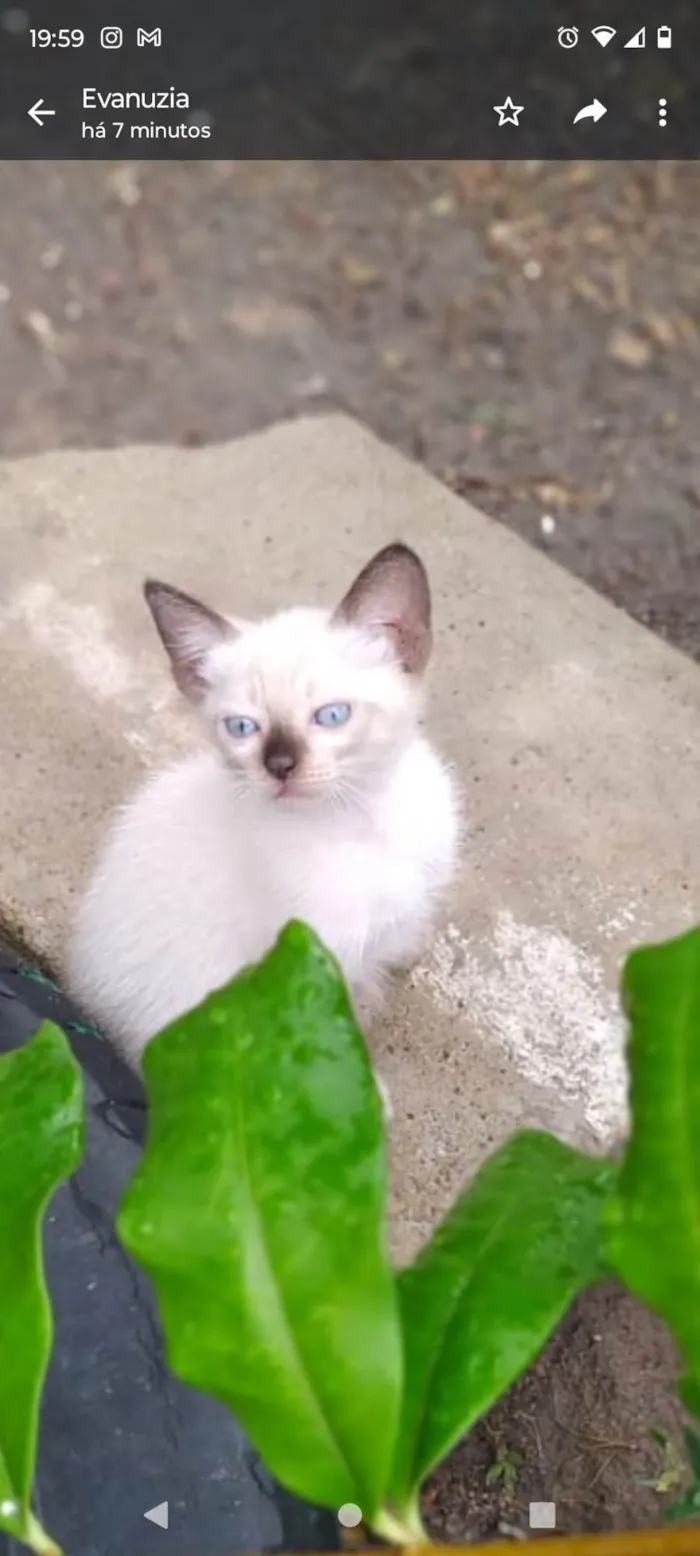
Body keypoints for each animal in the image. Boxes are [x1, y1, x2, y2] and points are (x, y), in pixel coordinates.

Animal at [65, 541, 460, 1089]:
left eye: (332, 715)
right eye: (242, 727)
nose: (279, 767)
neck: (359, 819)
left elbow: (399, 936)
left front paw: (406, 952)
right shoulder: (313, 965)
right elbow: (333, 1037)